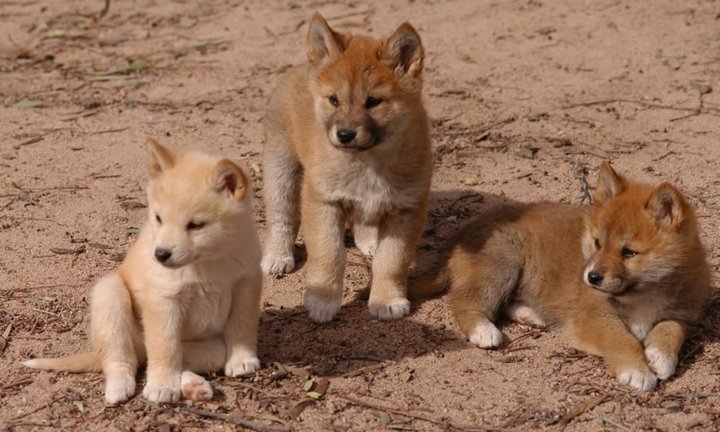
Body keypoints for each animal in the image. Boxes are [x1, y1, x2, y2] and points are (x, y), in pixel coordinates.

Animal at [22, 140, 264, 404]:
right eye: (158, 218)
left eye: (196, 225)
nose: (160, 254)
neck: (208, 263)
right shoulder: (163, 300)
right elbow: (165, 347)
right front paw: (161, 385)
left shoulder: (246, 285)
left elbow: (241, 326)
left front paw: (242, 359)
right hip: (110, 295)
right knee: (123, 359)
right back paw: (120, 386)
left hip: (203, 343)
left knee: (172, 357)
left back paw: (194, 385)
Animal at [264, 12, 434, 324]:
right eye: (334, 100)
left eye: (373, 102)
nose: (344, 134)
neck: (368, 163)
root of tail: (302, 68)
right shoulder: (323, 202)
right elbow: (329, 255)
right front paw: (323, 300)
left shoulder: (406, 209)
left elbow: (392, 261)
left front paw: (387, 300)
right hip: (280, 170)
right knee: (281, 218)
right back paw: (279, 256)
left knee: (363, 219)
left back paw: (369, 241)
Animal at [414, 163, 712, 392]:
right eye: (598, 243)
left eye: (629, 253)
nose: (592, 277)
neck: (642, 293)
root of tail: (459, 238)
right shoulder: (595, 316)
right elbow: (621, 338)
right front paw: (637, 369)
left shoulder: (682, 312)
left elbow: (671, 329)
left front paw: (660, 355)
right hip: (503, 263)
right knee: (464, 301)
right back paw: (483, 330)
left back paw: (531, 315)